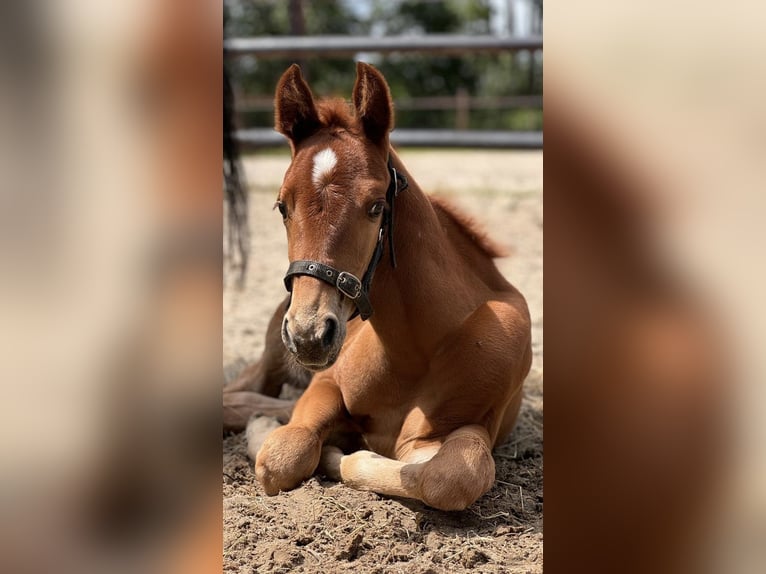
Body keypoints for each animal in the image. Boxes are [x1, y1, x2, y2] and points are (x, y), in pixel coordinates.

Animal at [231, 64, 532, 512]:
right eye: (282, 206)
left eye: (376, 206)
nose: (308, 335)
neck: (414, 350)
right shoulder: (326, 384)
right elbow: (283, 454)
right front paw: (281, 432)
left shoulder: (464, 427)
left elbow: (448, 477)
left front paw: (337, 450)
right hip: (271, 358)